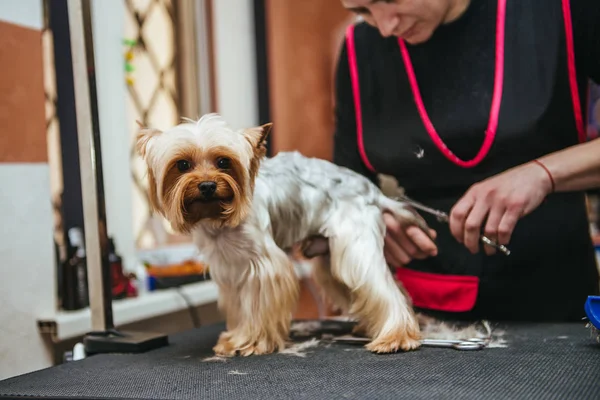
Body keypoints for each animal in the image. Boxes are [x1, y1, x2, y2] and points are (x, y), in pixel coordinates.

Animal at [136, 112, 432, 356]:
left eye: (223, 162)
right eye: (182, 165)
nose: (207, 185)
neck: (216, 219)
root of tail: (372, 191)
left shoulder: (263, 265)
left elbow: (257, 304)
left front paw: (252, 342)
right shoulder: (230, 268)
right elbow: (240, 307)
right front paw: (234, 340)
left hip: (354, 245)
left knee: (384, 286)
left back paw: (396, 337)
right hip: (329, 255)